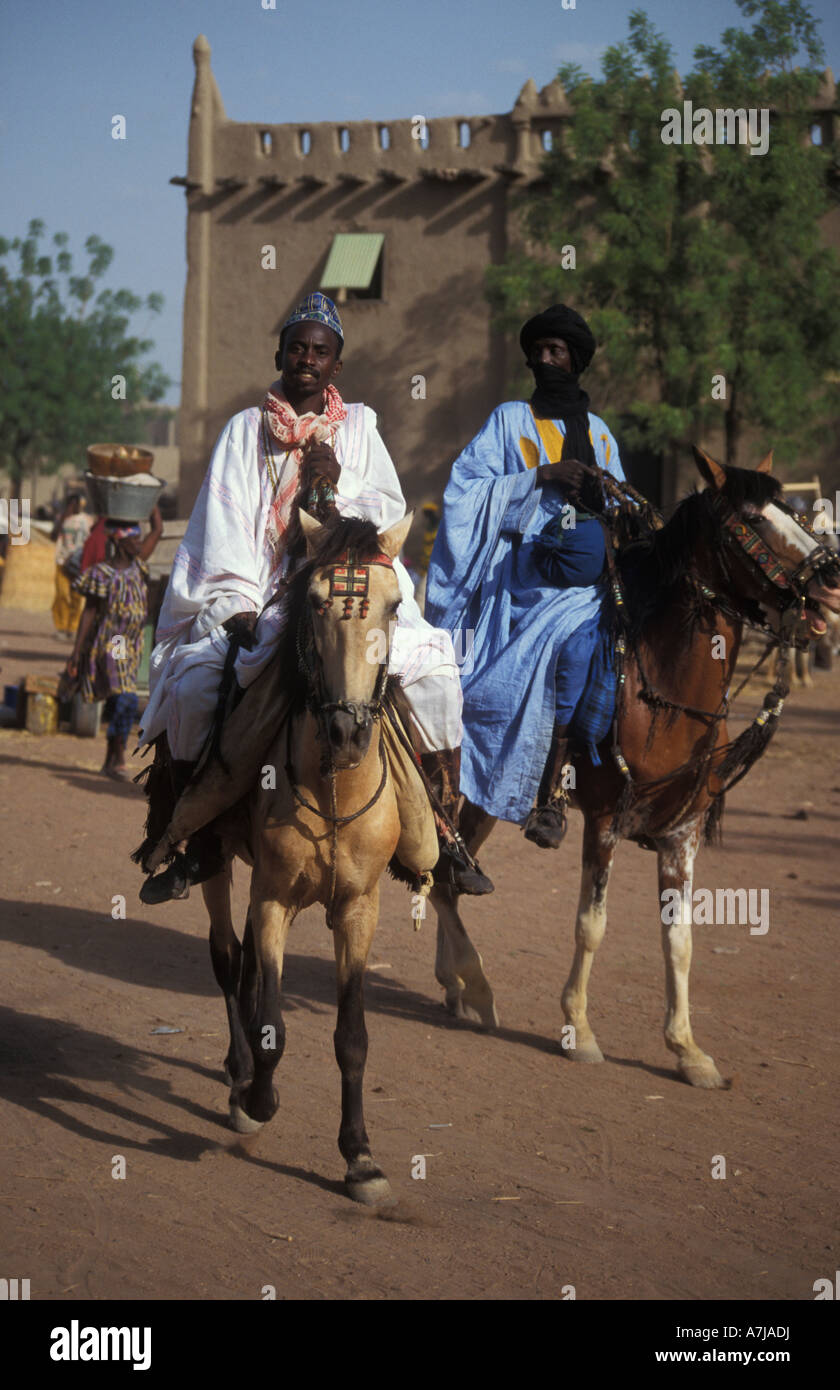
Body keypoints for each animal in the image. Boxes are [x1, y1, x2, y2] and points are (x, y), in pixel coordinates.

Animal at [431, 453, 840, 1084]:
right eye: (752, 518)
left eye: (790, 510)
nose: (830, 576)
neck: (667, 693)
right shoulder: (603, 820)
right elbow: (591, 924)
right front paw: (580, 1031)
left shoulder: (681, 833)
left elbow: (680, 940)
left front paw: (688, 1050)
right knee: (442, 875)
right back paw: (475, 986)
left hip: (485, 798)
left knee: (446, 878)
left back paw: (455, 985)